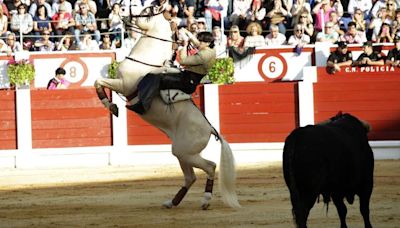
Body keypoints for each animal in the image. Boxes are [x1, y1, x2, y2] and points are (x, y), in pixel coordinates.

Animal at [94, 0, 238, 209]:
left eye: (147, 10)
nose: (119, 7)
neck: (147, 60)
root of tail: (211, 129)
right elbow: (97, 82)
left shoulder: (123, 85)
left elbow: (98, 82)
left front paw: (112, 107)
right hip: (180, 152)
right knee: (190, 177)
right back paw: (172, 202)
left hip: (186, 152)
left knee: (210, 166)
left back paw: (205, 200)